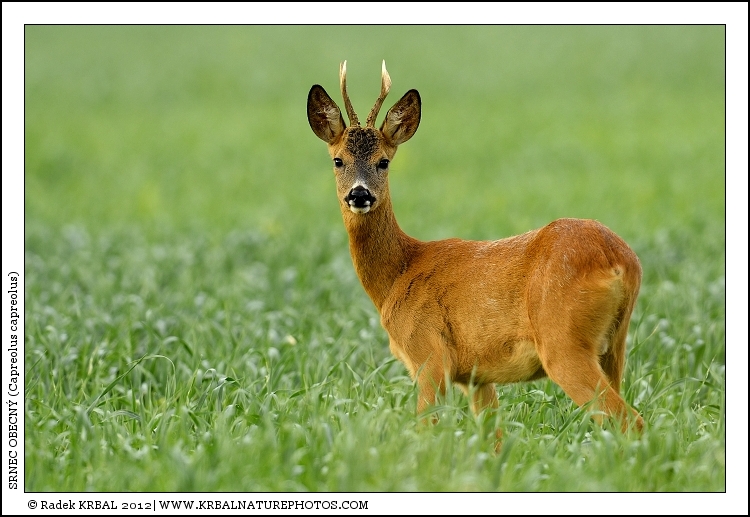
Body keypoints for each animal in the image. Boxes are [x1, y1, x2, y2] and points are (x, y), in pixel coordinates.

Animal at [306, 60, 644, 436]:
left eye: (384, 161)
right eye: (338, 160)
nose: (359, 194)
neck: (399, 273)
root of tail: (620, 261)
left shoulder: (429, 356)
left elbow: (425, 429)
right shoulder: (477, 377)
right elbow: (493, 438)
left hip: (564, 341)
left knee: (629, 419)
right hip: (614, 345)